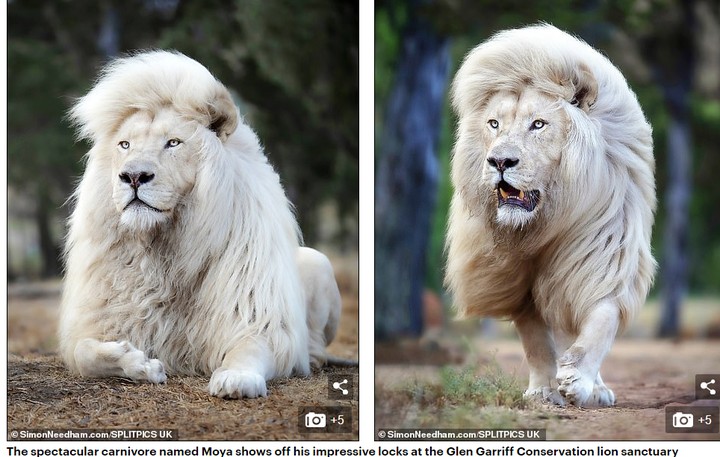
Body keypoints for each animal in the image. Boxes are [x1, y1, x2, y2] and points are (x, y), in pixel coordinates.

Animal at [59, 50, 343, 399]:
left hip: (318, 261)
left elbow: (249, 348)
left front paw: (236, 378)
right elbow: (83, 353)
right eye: (125, 145)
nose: (134, 176)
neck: (163, 249)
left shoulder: (259, 319)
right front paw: (139, 365)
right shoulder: (101, 320)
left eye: (173, 143)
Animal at [445, 25, 656, 407]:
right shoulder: (514, 279)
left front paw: (579, 381)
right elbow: (536, 342)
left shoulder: (605, 256)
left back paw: (595, 388)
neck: (544, 223)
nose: (499, 161)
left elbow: (601, 321)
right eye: (494, 124)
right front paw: (544, 391)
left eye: (538, 124)